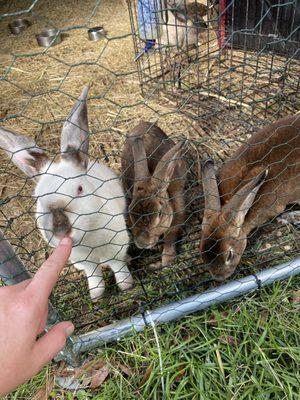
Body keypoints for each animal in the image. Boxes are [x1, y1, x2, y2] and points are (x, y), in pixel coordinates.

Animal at [0, 86, 132, 302]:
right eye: (37, 198)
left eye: (79, 189)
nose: (61, 231)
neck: (88, 237)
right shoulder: (83, 261)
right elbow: (93, 275)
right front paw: (96, 295)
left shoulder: (116, 247)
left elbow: (119, 267)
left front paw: (127, 286)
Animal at [120, 120, 186, 268]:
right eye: (131, 212)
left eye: (160, 213)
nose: (142, 243)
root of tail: (144, 123)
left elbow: (170, 238)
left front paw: (167, 261)